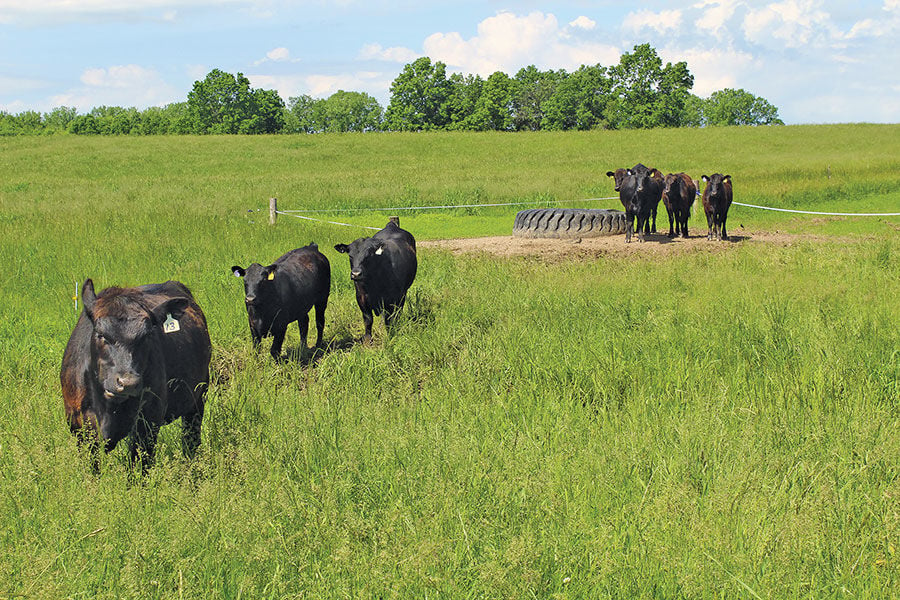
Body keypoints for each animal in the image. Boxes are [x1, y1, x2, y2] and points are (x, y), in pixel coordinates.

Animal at [61, 278, 213, 472]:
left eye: (147, 335)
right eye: (100, 334)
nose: (128, 383)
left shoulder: (147, 423)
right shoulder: (78, 425)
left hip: (198, 397)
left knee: (191, 440)